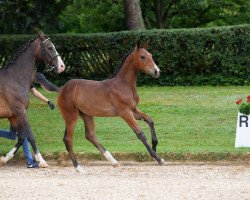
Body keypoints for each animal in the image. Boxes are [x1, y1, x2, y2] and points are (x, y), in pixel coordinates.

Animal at [0, 31, 64, 167]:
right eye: (49, 47)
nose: (62, 66)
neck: (15, 79)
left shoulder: (13, 115)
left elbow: (21, 138)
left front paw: (5, 158)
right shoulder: (21, 112)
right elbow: (30, 136)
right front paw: (41, 160)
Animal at [57, 43, 165, 173]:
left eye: (151, 55)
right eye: (143, 57)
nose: (156, 71)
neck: (124, 85)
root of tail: (62, 89)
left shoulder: (133, 110)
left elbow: (150, 120)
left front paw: (155, 145)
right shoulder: (125, 113)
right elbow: (140, 133)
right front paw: (157, 158)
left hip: (86, 115)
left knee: (90, 135)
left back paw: (113, 161)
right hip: (71, 115)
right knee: (68, 139)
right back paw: (79, 168)